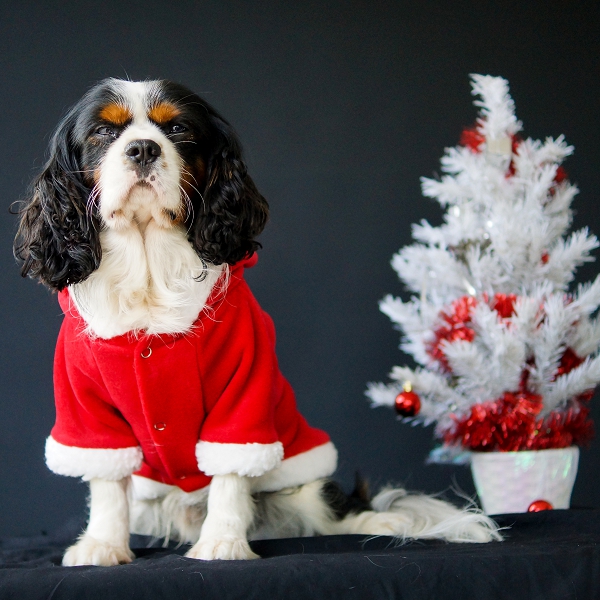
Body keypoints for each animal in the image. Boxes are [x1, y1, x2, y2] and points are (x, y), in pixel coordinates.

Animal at [14, 77, 502, 564]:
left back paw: (378, 522)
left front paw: (222, 542)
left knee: (333, 510)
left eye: (177, 129)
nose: (142, 149)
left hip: (301, 483)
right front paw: (102, 545)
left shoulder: (244, 387)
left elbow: (231, 471)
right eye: (103, 133)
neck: (150, 262)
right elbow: (106, 483)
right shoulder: (85, 408)